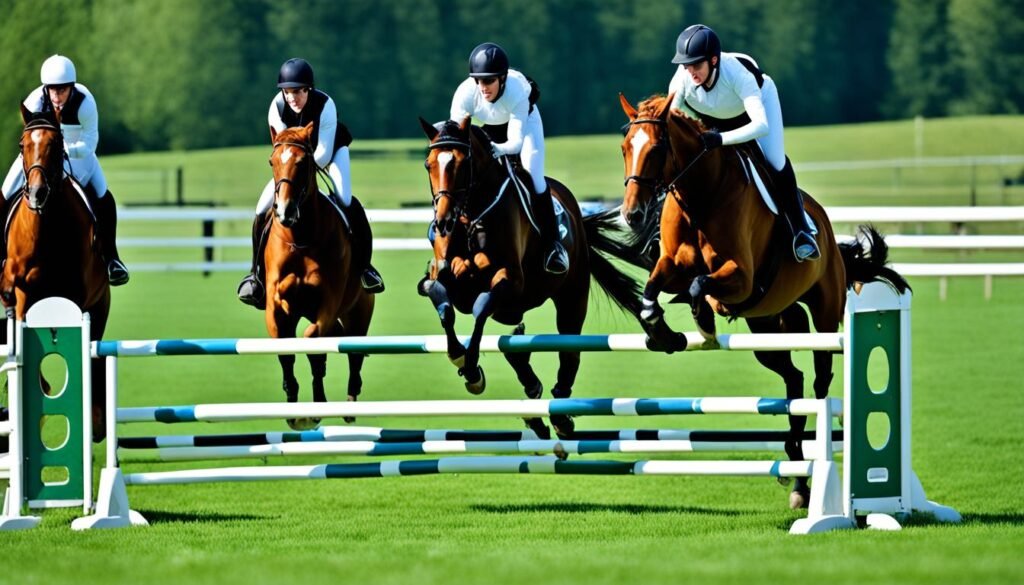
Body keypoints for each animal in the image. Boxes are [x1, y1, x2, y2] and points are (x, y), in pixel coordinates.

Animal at [0, 105, 110, 442]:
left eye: (56, 145)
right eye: (23, 145)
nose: (37, 194)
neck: (45, 225)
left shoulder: (76, 296)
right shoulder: (23, 292)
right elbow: (21, 325)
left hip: (100, 306)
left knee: (96, 353)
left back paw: (97, 423)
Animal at [264, 122, 376, 430]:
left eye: (303, 163)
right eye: (272, 161)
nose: (285, 211)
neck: (301, 237)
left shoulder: (328, 302)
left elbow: (312, 341)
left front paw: (315, 408)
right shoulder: (275, 304)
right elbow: (285, 347)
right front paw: (293, 407)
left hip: (359, 311)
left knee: (354, 350)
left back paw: (349, 403)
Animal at [417, 117, 643, 438]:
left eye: (462, 164)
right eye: (429, 164)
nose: (442, 222)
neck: (472, 215)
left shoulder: (511, 281)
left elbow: (480, 306)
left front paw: (472, 369)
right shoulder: (451, 279)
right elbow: (441, 295)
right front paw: (458, 354)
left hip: (571, 297)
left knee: (569, 349)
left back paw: (560, 415)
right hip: (515, 308)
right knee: (515, 336)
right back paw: (531, 389)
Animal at [614, 94, 913, 508]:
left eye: (657, 149)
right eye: (625, 148)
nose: (632, 214)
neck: (700, 196)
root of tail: (826, 229)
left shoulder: (740, 278)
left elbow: (700, 286)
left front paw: (704, 320)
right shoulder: (670, 264)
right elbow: (652, 290)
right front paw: (663, 334)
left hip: (824, 317)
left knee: (818, 382)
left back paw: (806, 470)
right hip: (769, 327)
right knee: (793, 379)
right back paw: (798, 479)